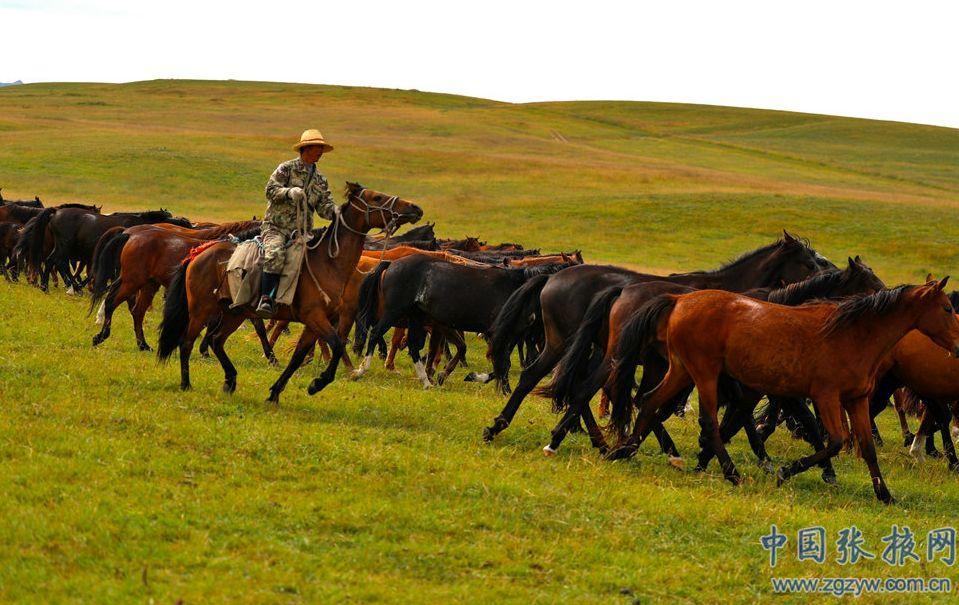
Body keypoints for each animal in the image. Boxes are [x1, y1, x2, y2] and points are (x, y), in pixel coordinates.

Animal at [156, 184, 422, 402]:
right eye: (377, 197)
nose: (415, 208)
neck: (328, 262)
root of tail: (199, 252)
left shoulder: (314, 323)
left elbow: (298, 357)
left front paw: (275, 393)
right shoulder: (315, 317)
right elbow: (337, 345)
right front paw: (318, 383)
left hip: (235, 312)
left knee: (215, 340)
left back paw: (230, 380)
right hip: (201, 309)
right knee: (186, 342)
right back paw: (186, 384)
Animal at [354, 254, 572, 386]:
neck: (518, 288)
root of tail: (392, 264)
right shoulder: (500, 333)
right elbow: (504, 362)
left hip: (415, 317)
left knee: (414, 347)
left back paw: (426, 382)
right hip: (394, 312)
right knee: (375, 334)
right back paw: (360, 370)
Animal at [484, 231, 828, 444]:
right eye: (809, 262)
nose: (826, 278)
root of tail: (551, 277)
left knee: (557, 384)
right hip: (566, 344)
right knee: (548, 381)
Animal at [608, 280, 959, 502]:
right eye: (946, 308)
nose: (958, 345)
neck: (853, 335)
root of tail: (679, 300)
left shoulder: (856, 400)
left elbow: (868, 448)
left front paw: (884, 494)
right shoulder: (825, 397)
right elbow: (834, 442)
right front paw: (785, 471)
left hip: (681, 370)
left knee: (649, 402)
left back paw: (623, 451)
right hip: (703, 372)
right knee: (709, 422)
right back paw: (731, 473)